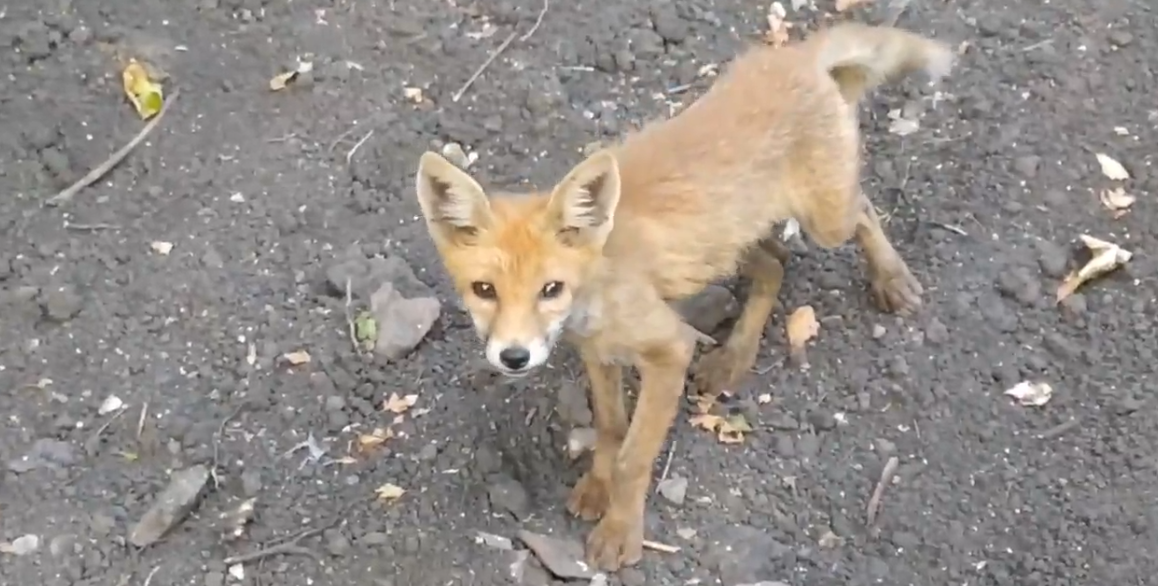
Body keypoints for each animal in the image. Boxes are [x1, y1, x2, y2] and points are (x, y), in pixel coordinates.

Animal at [412, 21, 954, 567]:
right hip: (730, 243)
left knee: (862, 211)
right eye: (484, 290)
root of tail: (795, 54)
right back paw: (734, 357)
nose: (514, 357)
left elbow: (633, 456)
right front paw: (598, 488)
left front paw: (621, 532)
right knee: (775, 264)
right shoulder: (598, 354)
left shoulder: (669, 348)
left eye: (551, 289)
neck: (595, 289)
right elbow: (609, 428)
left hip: (825, 222)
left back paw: (890, 278)